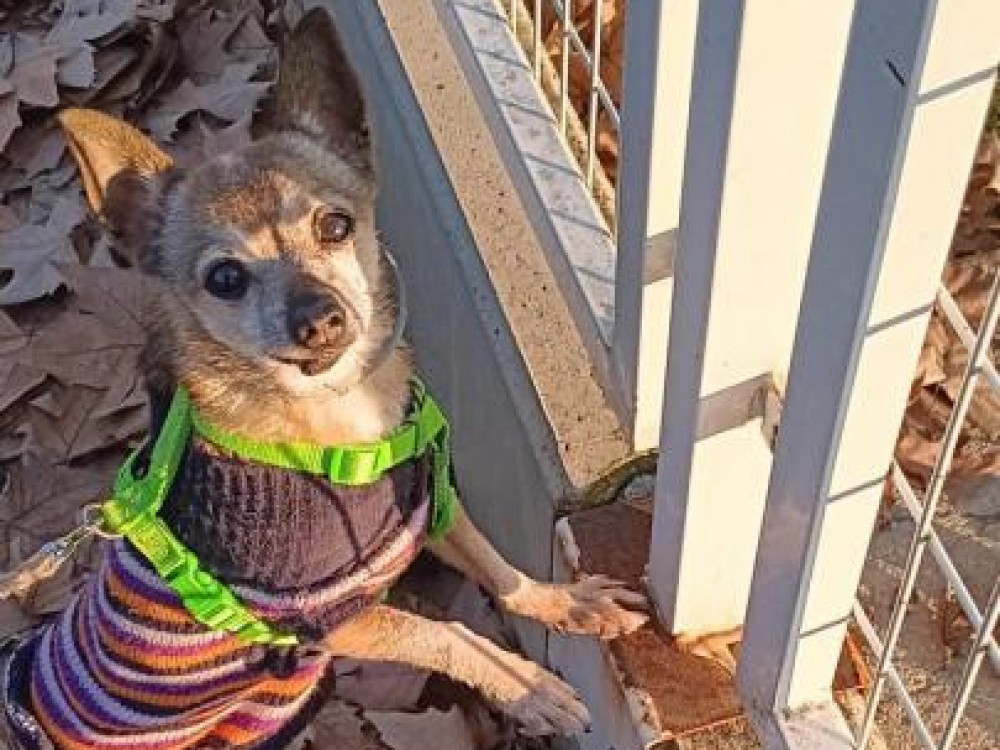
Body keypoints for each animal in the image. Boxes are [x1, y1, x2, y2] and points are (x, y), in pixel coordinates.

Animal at [0, 9, 647, 749]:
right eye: (225, 279)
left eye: (335, 225)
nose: (318, 319)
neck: (345, 420)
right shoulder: (330, 622)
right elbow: (447, 634)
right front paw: (529, 687)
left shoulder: (433, 511)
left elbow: (500, 570)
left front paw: (565, 603)